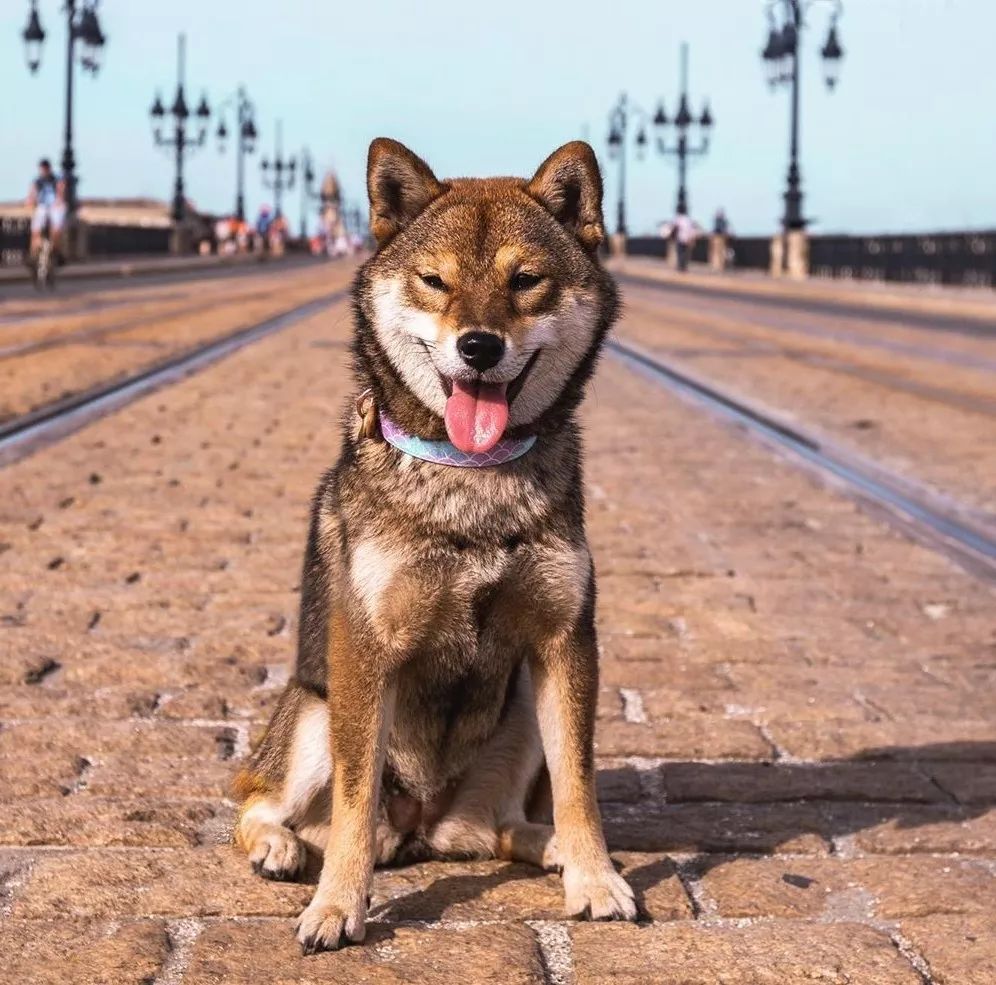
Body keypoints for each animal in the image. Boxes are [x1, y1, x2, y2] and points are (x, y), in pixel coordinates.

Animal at [233, 135, 636, 948]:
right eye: (435, 281)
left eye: (525, 281)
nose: (478, 346)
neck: (472, 477)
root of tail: (420, 830)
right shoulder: (365, 649)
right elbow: (354, 803)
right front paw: (337, 907)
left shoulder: (565, 640)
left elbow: (578, 783)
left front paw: (595, 876)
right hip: (316, 710)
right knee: (257, 799)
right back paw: (281, 848)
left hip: (518, 706)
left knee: (503, 828)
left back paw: (547, 847)